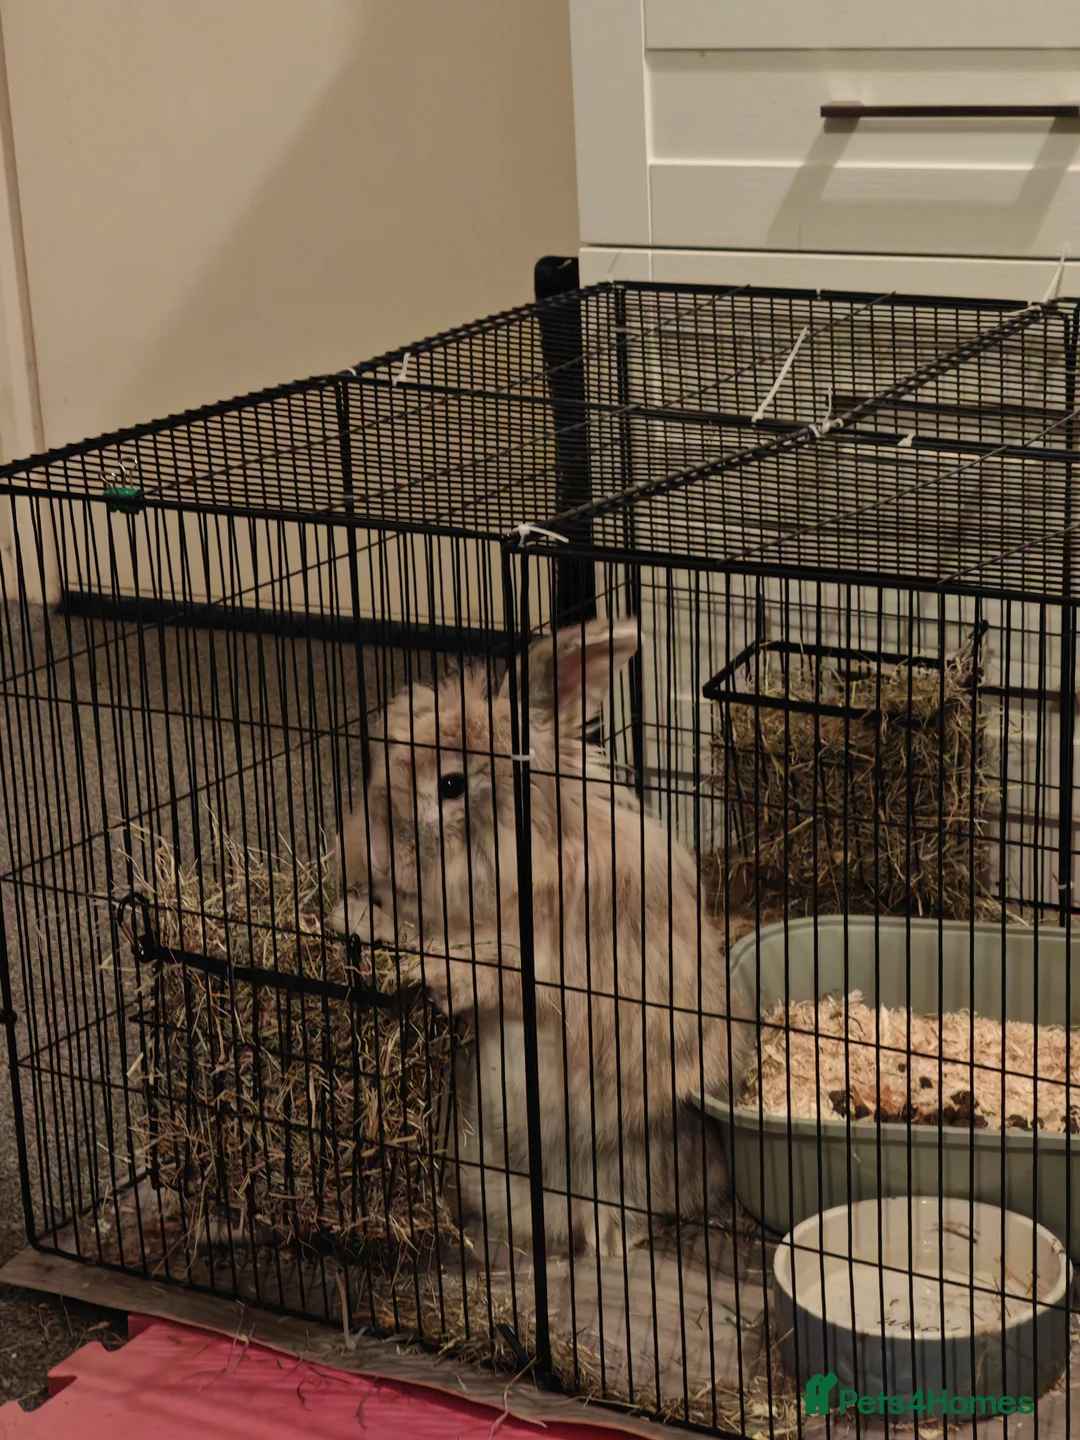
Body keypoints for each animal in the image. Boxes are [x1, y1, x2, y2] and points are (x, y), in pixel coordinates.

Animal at [328, 618, 755, 1262]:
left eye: (450, 783)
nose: (376, 853)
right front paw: (350, 916)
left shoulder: (538, 962)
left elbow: (473, 964)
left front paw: (408, 958)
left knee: (624, 1222)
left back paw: (604, 1244)